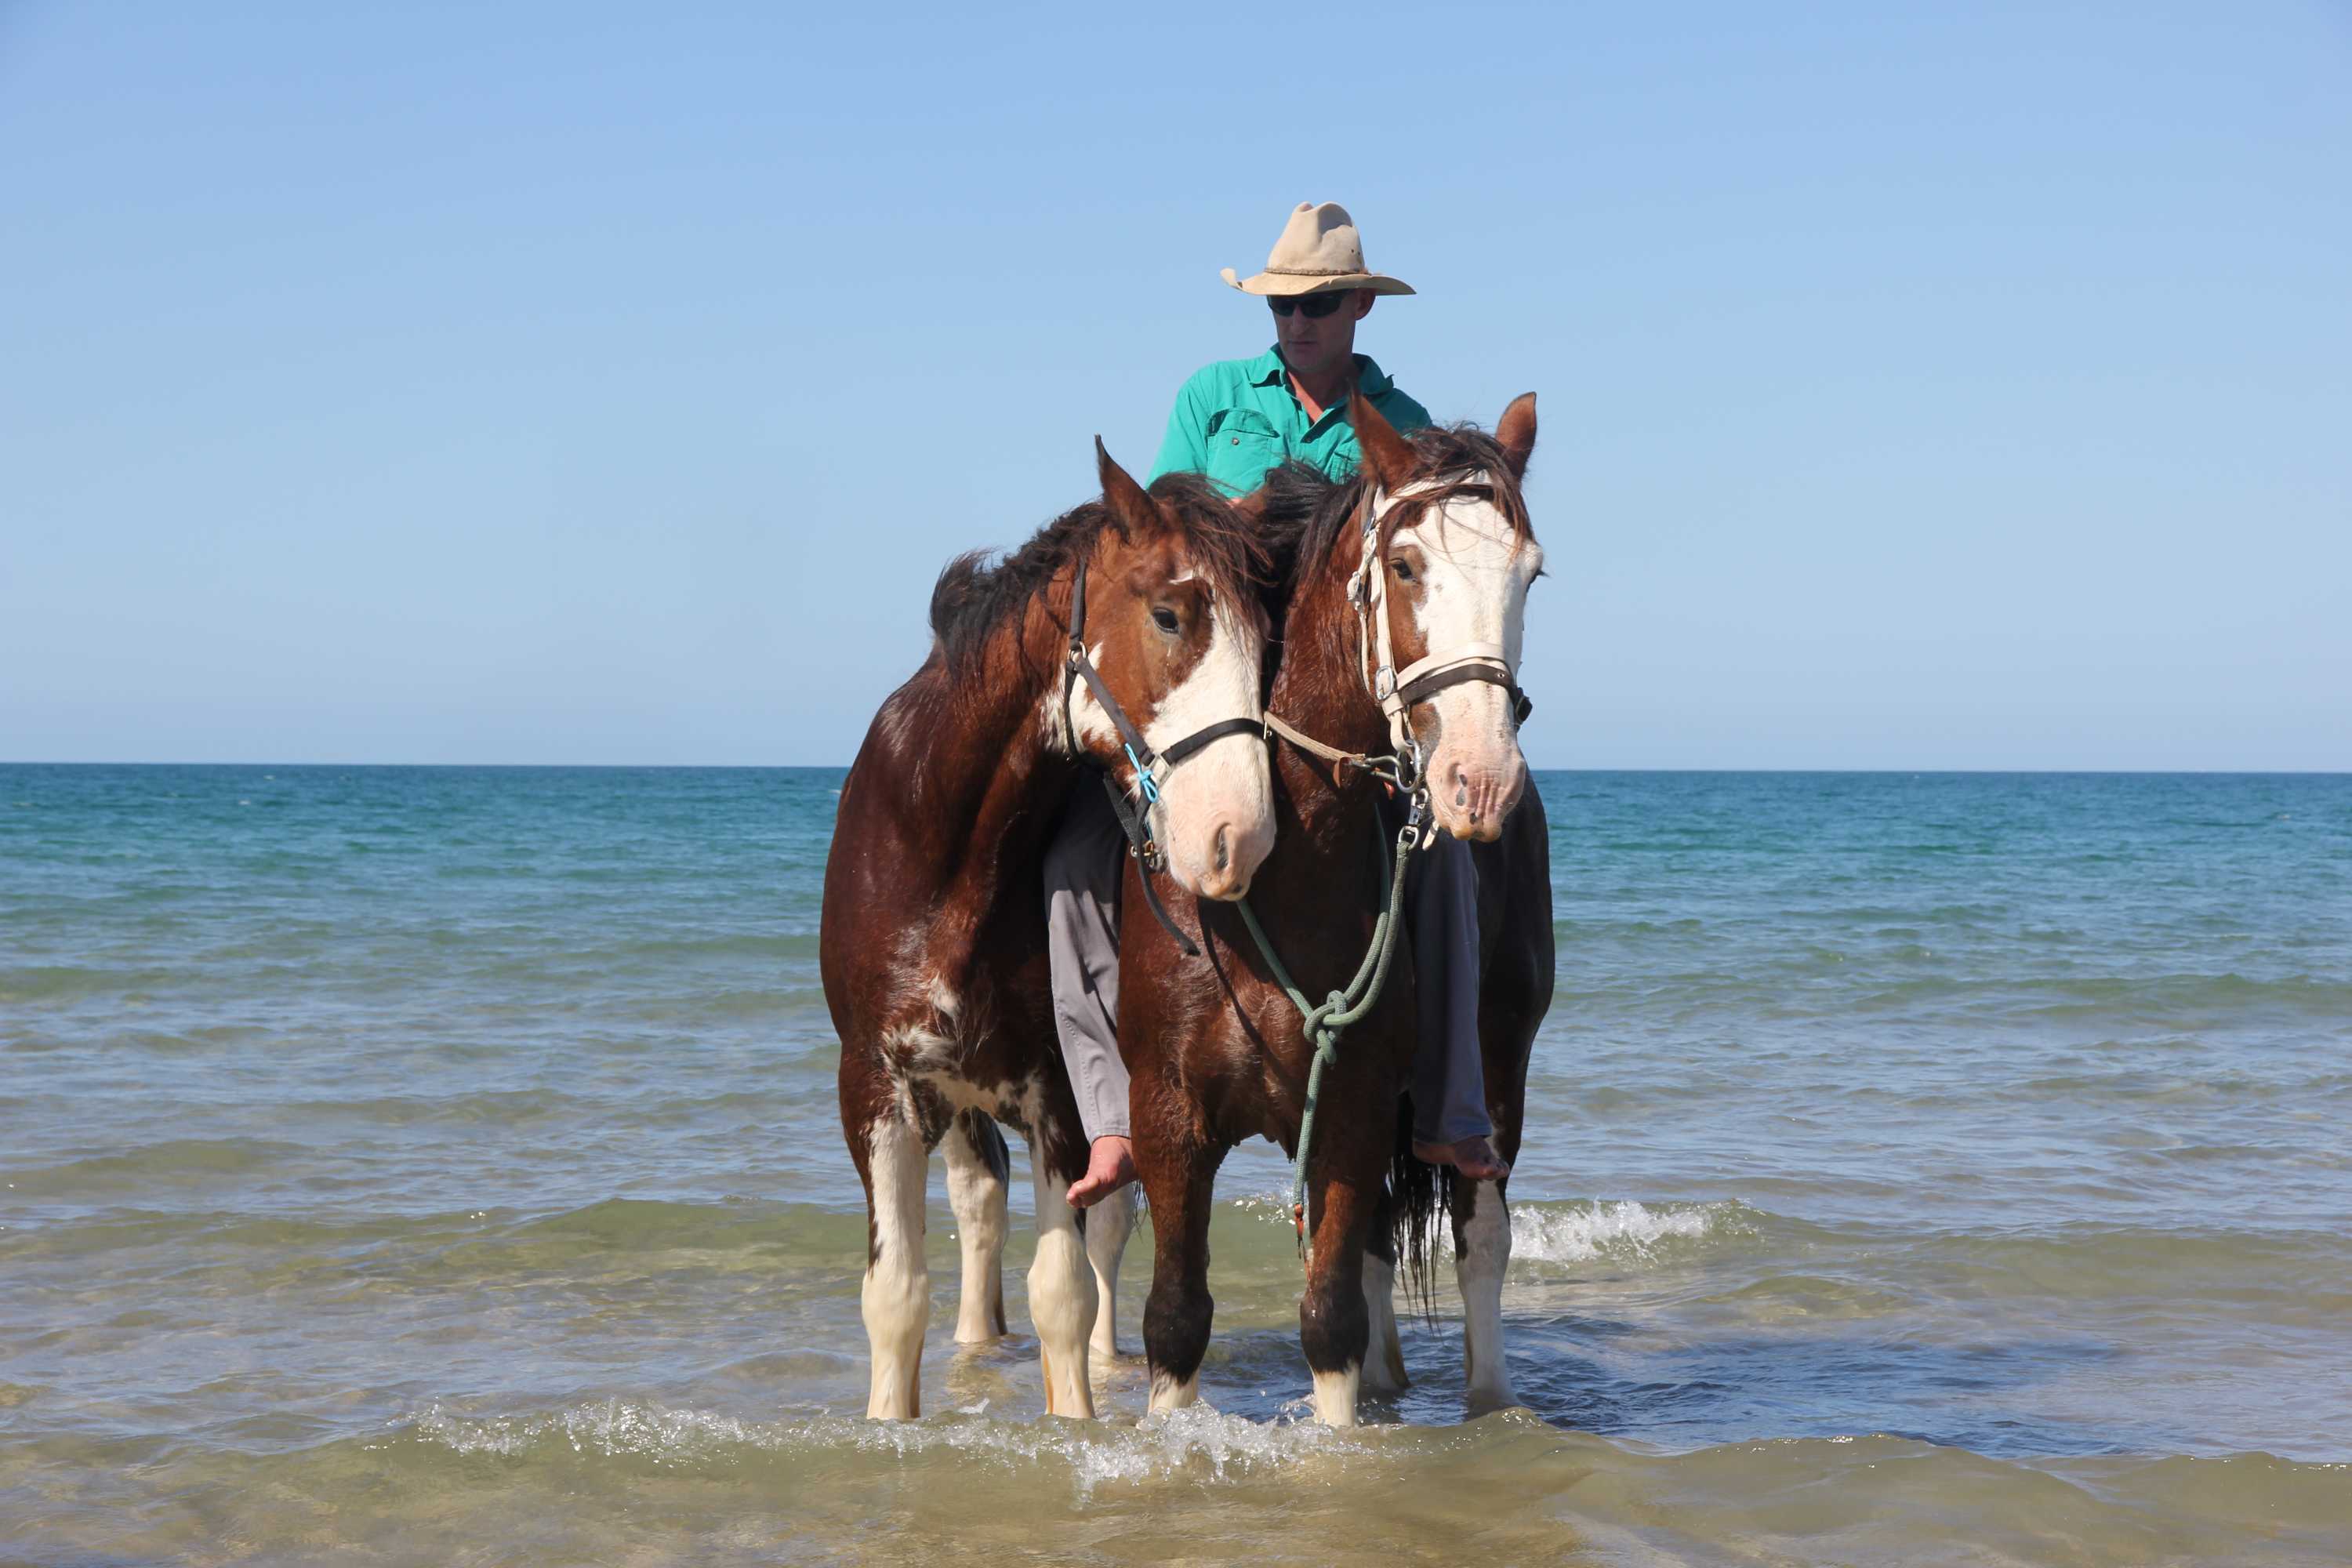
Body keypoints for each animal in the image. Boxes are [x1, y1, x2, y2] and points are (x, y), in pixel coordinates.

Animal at [821, 442, 1278, 1420]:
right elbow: (896, 1292)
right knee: (979, 1201)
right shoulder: (877, 1083)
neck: (948, 857)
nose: (1241, 834)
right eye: (1169, 613)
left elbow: (1064, 1292)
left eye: (1268, 639)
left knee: (1104, 1229)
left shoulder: (1059, 1091)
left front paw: (1078, 1418)